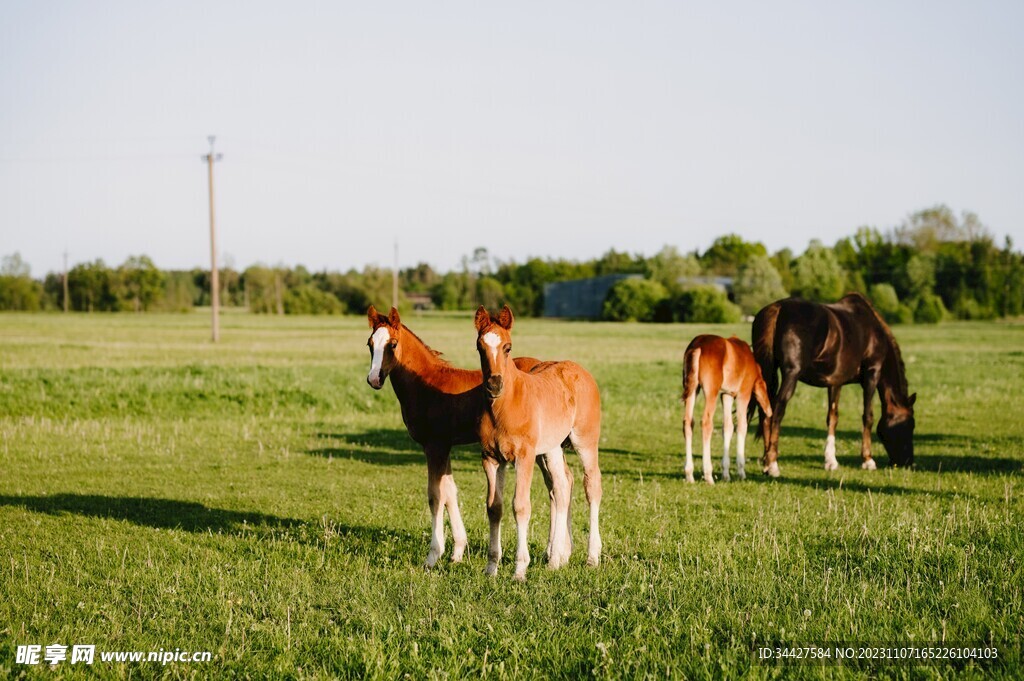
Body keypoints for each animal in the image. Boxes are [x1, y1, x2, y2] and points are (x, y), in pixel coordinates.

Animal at [365, 305, 573, 569]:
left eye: (392, 344)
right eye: (370, 344)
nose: (374, 379)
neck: (425, 384)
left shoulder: (435, 446)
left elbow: (436, 496)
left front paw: (433, 556)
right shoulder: (444, 446)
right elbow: (450, 492)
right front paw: (457, 551)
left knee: (560, 485)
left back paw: (557, 554)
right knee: (559, 485)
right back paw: (558, 552)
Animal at [474, 305, 603, 581]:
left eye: (508, 347)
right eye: (480, 347)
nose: (494, 384)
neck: (504, 407)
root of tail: (581, 371)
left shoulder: (524, 456)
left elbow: (521, 506)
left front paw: (520, 569)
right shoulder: (491, 459)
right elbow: (494, 507)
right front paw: (491, 567)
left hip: (585, 442)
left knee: (592, 486)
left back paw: (591, 557)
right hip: (550, 449)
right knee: (562, 487)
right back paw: (556, 559)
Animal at [682, 335, 773, 483]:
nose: (769, 411)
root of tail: (698, 346)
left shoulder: (726, 395)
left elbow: (728, 427)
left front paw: (726, 474)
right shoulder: (743, 395)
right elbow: (742, 426)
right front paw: (741, 472)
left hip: (692, 389)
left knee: (688, 422)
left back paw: (689, 474)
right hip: (711, 392)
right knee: (706, 423)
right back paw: (708, 475)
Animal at [751, 293, 916, 476]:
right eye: (909, 425)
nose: (908, 462)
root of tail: (778, 308)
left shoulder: (836, 381)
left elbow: (832, 417)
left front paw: (831, 461)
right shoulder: (872, 374)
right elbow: (868, 416)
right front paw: (868, 460)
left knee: (765, 410)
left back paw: (766, 463)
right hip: (791, 374)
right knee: (777, 411)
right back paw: (772, 464)